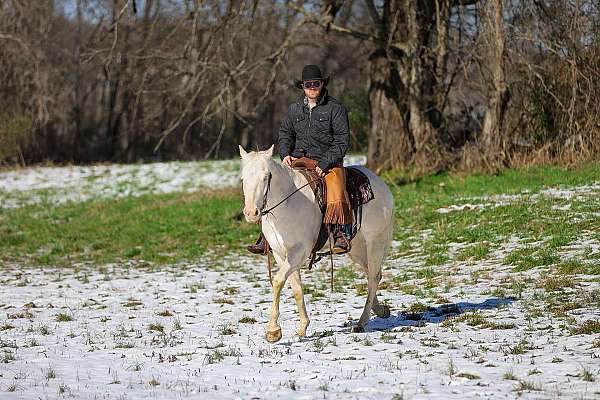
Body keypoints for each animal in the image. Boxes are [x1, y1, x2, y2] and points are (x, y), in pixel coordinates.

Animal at [239, 145, 394, 342]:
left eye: (266, 177)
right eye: (243, 178)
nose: (251, 213)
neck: (288, 204)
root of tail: (381, 184)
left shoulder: (298, 252)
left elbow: (278, 281)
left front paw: (273, 331)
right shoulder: (281, 254)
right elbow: (296, 288)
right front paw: (302, 328)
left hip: (375, 241)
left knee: (373, 277)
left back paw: (361, 322)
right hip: (357, 248)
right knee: (372, 274)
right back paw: (380, 310)